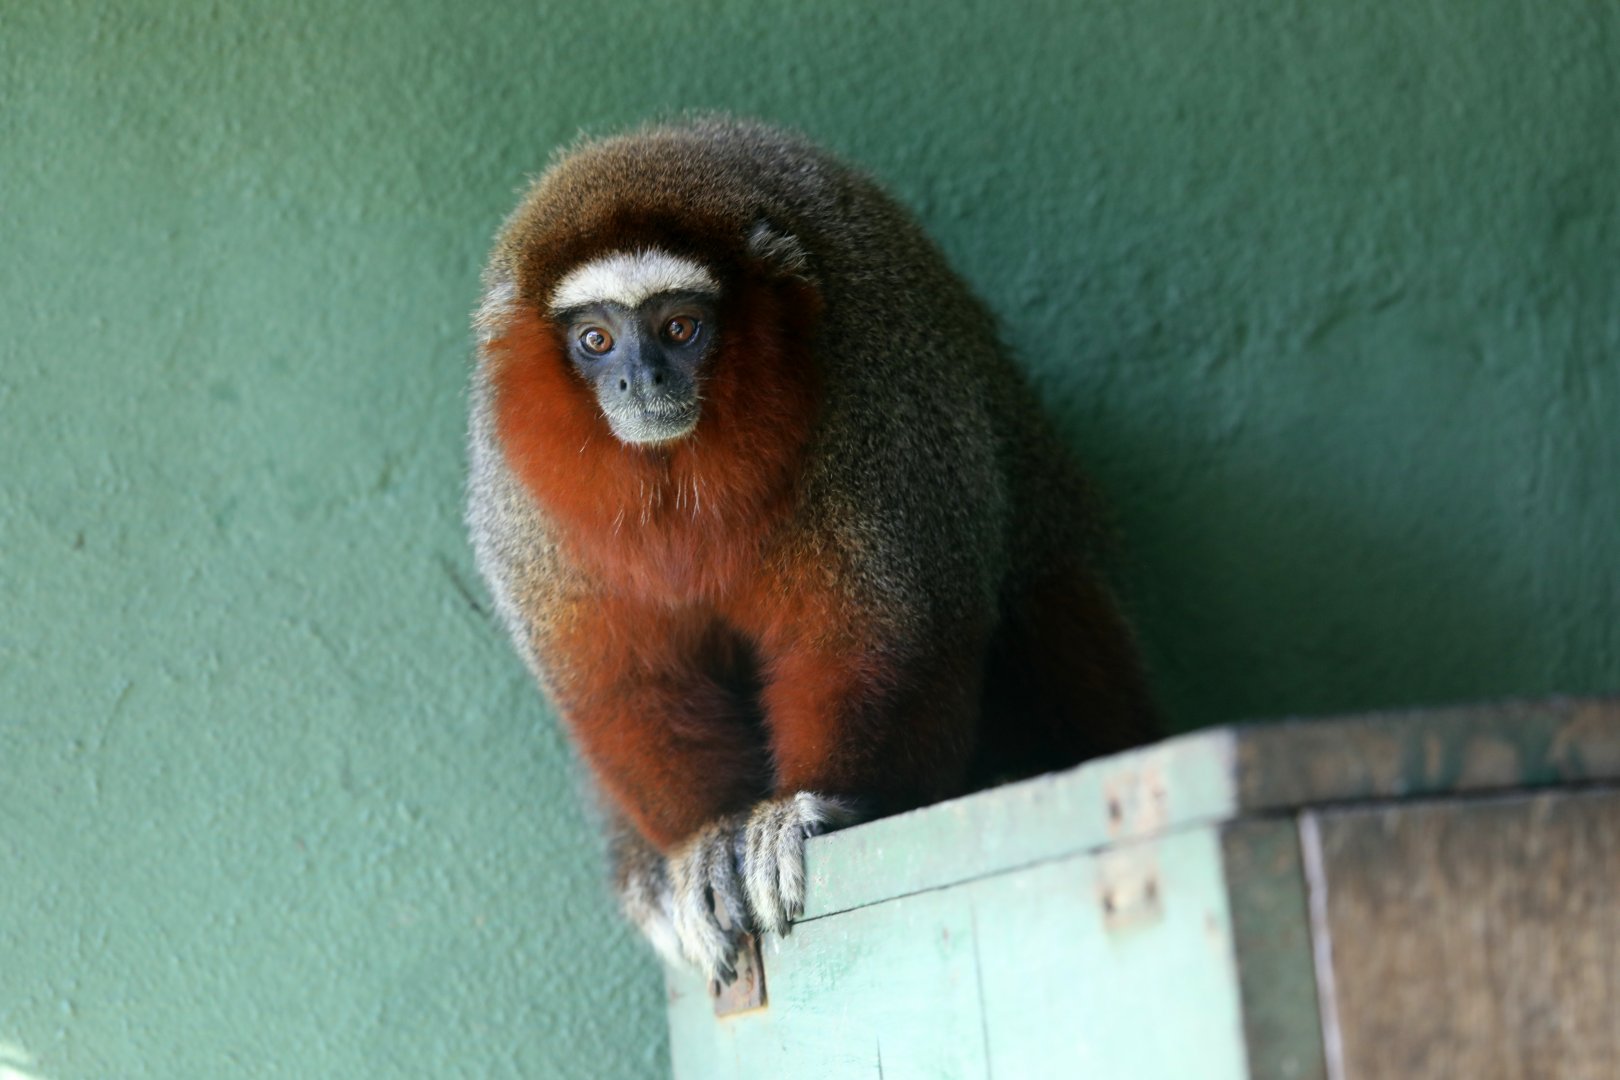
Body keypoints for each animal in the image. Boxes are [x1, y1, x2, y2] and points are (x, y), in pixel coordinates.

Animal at [466, 117, 1160, 983]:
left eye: (679, 328)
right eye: (596, 340)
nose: (640, 378)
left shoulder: (874, 406)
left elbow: (888, 625)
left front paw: (797, 813)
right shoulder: (522, 498)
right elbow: (617, 679)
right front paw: (707, 839)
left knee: (1048, 598)